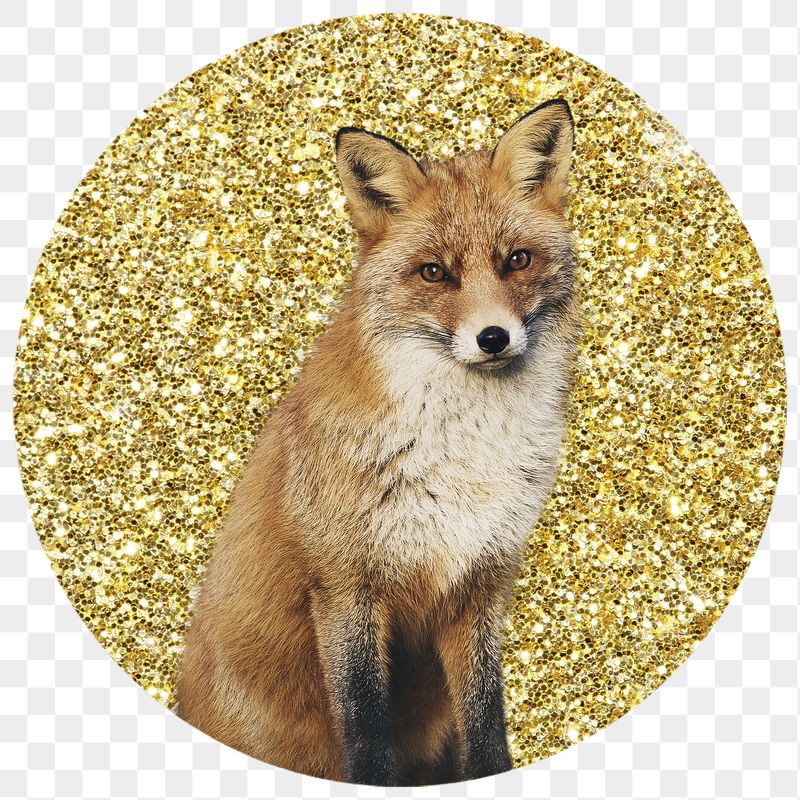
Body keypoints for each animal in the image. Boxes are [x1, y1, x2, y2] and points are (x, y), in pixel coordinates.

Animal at [175, 98, 580, 786]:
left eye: (517, 261)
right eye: (434, 273)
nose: (493, 338)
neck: (463, 454)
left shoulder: (480, 584)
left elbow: (487, 728)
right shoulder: (345, 586)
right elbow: (366, 732)